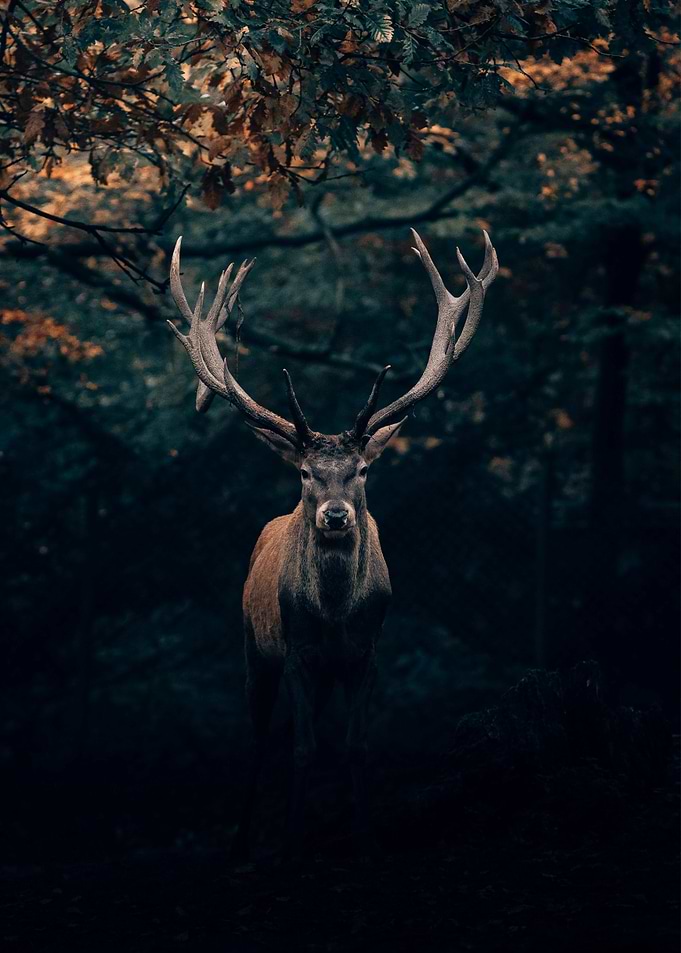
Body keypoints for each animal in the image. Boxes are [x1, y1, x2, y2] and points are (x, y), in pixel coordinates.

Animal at [167, 228, 498, 862]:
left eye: (363, 470)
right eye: (304, 473)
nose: (336, 515)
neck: (337, 615)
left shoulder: (367, 655)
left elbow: (353, 746)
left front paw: (362, 835)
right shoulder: (297, 652)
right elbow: (302, 748)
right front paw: (293, 840)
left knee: (292, 733)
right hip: (253, 648)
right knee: (262, 736)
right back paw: (244, 841)